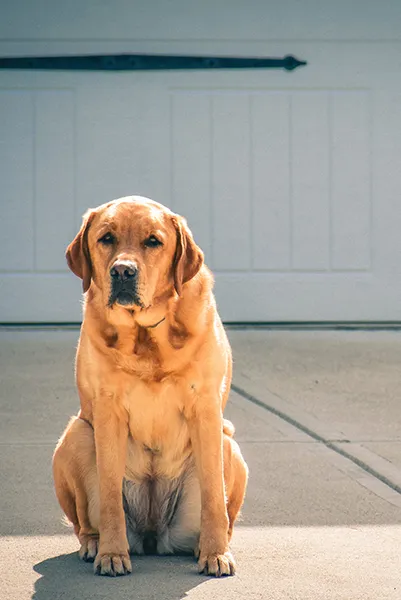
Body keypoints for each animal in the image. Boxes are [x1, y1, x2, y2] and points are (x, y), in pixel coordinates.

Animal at [53, 197, 247, 576]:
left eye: (153, 241)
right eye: (107, 238)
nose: (122, 272)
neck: (146, 336)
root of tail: (153, 535)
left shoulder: (206, 409)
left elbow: (214, 497)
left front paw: (216, 553)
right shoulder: (108, 410)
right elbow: (110, 496)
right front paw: (112, 554)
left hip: (229, 444)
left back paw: (205, 545)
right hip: (76, 436)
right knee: (85, 522)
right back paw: (95, 544)